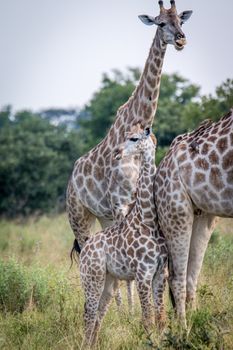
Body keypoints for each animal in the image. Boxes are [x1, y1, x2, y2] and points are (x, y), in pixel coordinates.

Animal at [66, 0, 192, 304]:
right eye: (160, 23)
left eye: (181, 20)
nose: (180, 39)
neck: (138, 120)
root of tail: (71, 179)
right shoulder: (120, 201)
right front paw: (132, 312)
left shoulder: (133, 201)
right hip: (79, 216)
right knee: (88, 250)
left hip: (103, 216)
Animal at [75, 131, 168, 348]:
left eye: (134, 138)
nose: (116, 151)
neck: (148, 219)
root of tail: (86, 248)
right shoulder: (143, 273)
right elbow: (148, 318)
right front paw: (151, 343)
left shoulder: (160, 273)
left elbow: (160, 317)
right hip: (92, 277)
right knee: (89, 312)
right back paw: (85, 345)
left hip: (109, 280)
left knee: (99, 312)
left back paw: (94, 345)